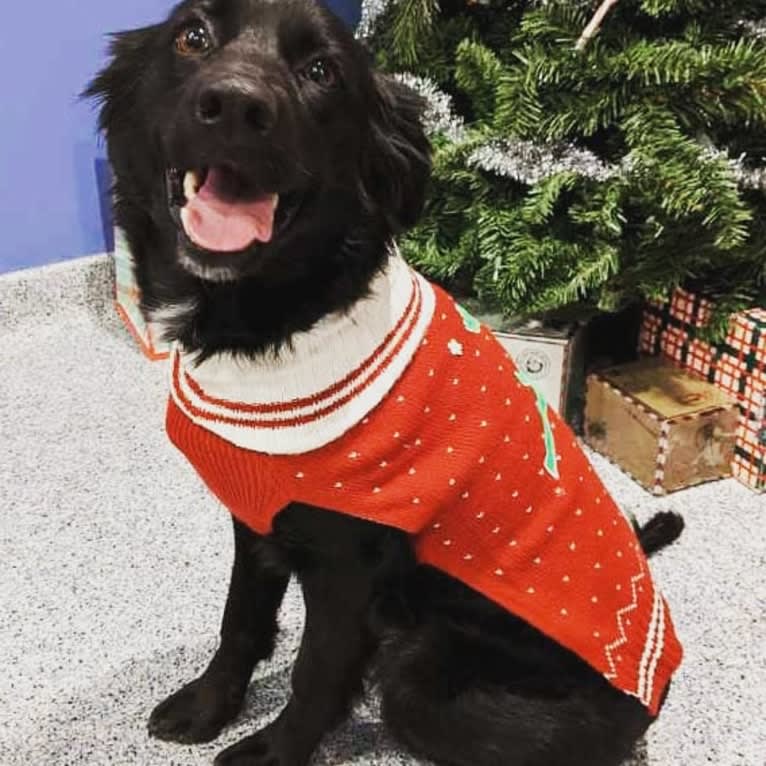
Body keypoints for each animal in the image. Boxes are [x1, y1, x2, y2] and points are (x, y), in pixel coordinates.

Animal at [87, 3, 688, 764]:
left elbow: (317, 671)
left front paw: (272, 750)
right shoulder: (255, 517)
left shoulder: (349, 566)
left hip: (422, 677)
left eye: (322, 71)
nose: (235, 105)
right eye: (192, 36)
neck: (277, 323)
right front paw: (208, 704)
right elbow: (240, 620)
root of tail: (656, 685)